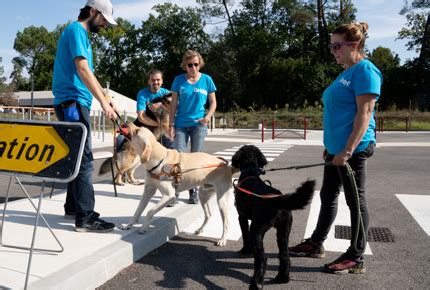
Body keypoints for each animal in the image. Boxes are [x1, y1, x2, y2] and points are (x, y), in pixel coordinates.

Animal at [232, 145, 316, 290]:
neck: (250, 172)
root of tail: (278, 200)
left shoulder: (241, 217)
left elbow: (245, 235)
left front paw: (245, 250)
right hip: (284, 229)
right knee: (284, 255)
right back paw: (282, 278)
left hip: (257, 229)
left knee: (262, 259)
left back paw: (256, 284)